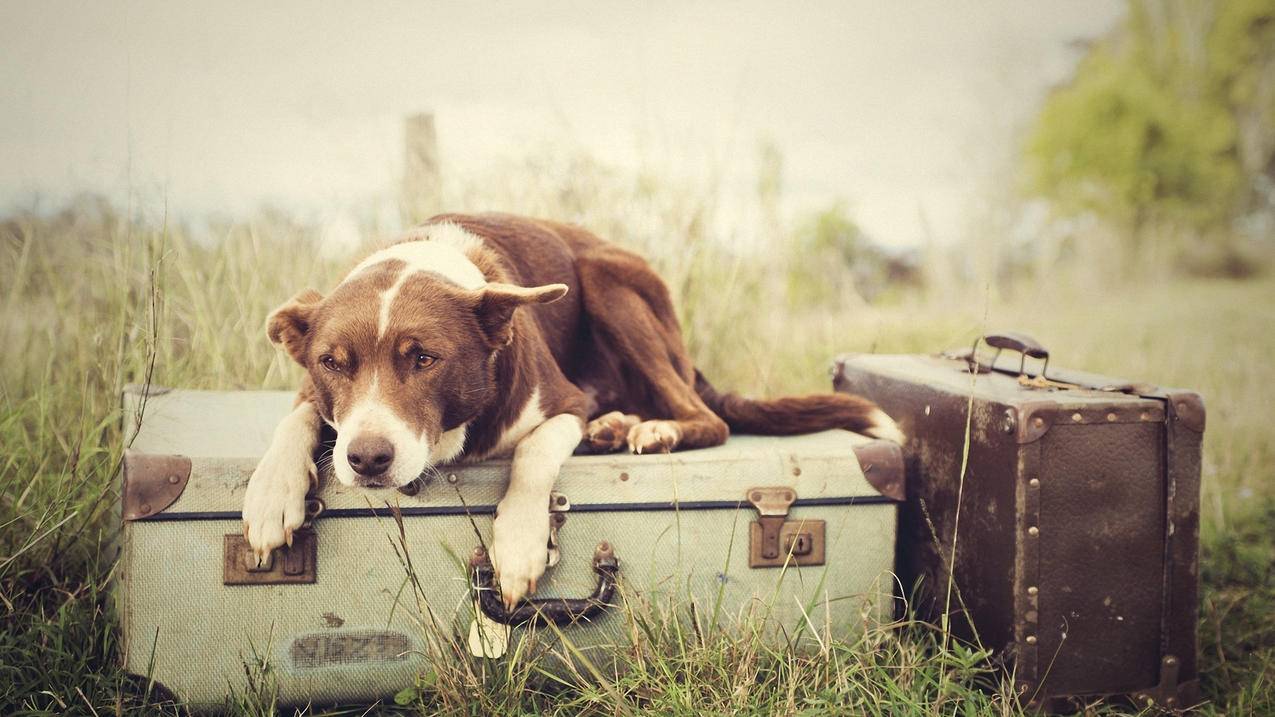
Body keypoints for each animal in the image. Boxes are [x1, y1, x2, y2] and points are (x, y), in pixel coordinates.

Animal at [239, 213, 897, 607]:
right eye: (332, 363)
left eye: (425, 358)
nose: (368, 459)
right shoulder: (313, 395)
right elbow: (295, 418)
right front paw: (271, 496)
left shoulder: (564, 402)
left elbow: (533, 452)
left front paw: (518, 543)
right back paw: (617, 426)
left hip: (608, 283)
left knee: (707, 418)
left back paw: (652, 429)